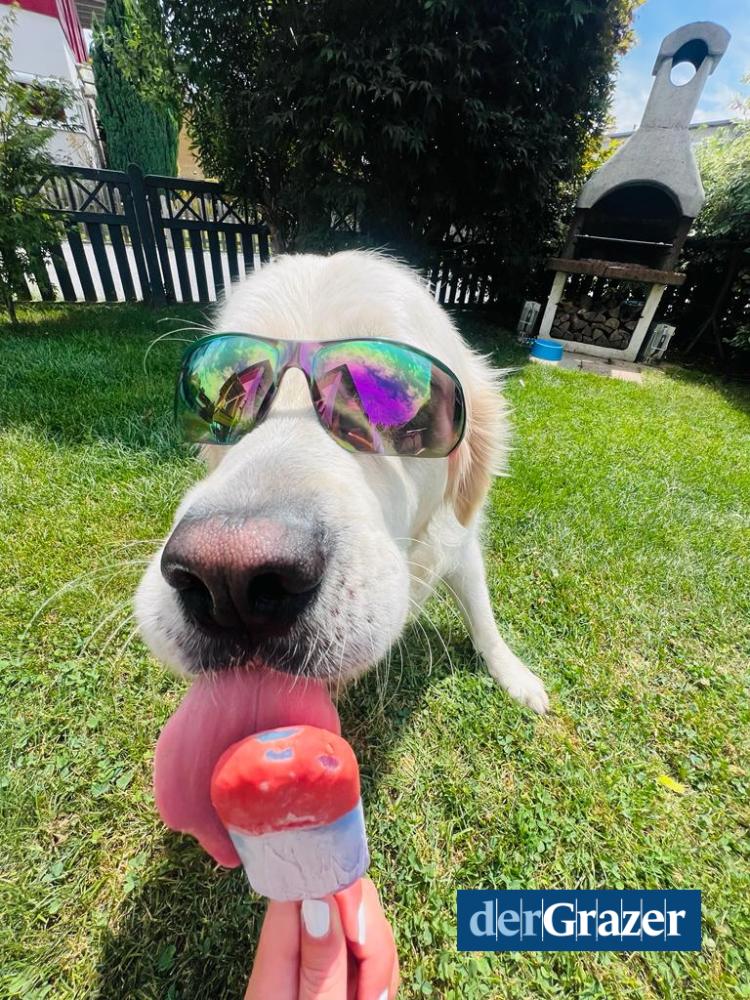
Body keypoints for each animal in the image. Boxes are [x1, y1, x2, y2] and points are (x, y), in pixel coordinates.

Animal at [135, 251, 548, 714]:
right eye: (237, 395)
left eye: (382, 398)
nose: (228, 578)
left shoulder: (460, 542)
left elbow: (482, 614)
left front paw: (514, 674)